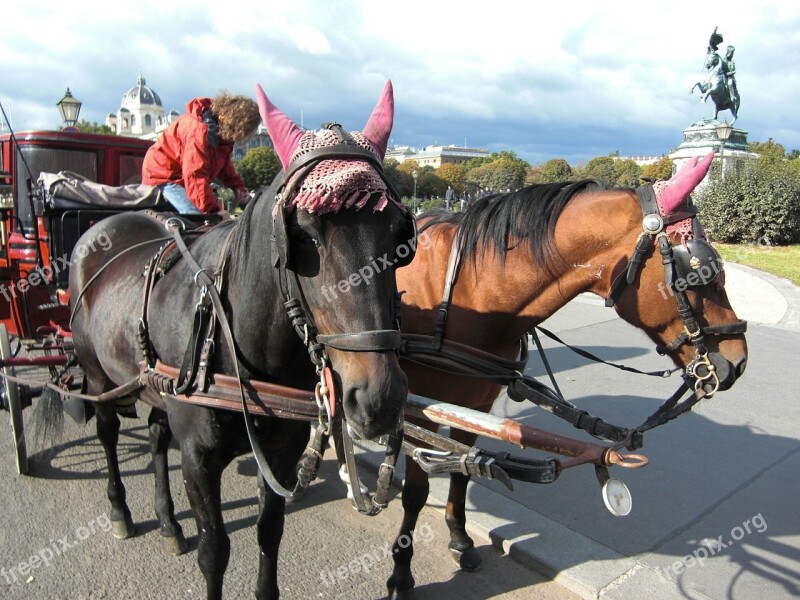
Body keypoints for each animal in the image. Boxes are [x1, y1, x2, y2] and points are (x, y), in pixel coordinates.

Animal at [69, 81, 412, 600]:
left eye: (400, 236)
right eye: (302, 235)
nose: (379, 399)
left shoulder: (283, 453)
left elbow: (269, 533)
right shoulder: (198, 458)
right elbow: (215, 551)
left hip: (153, 383)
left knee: (155, 435)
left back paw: (168, 522)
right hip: (96, 374)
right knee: (108, 432)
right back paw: (120, 511)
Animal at [384, 152, 748, 592]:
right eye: (700, 270)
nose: (737, 360)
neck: (464, 295)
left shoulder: (475, 405)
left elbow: (462, 472)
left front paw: (460, 537)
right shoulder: (420, 407)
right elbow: (417, 490)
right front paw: (402, 569)